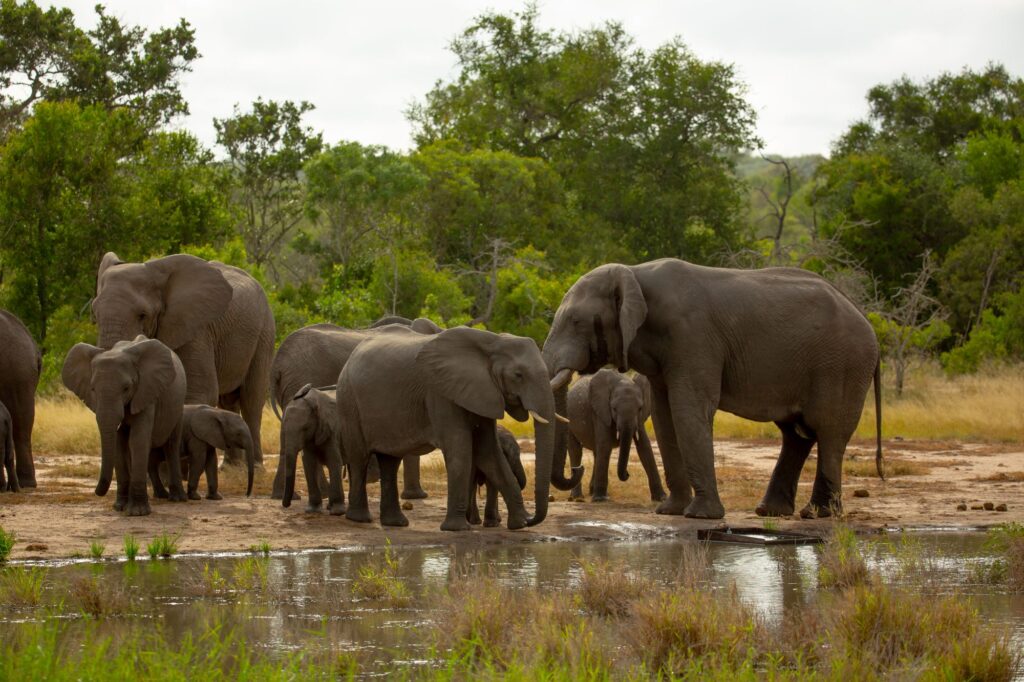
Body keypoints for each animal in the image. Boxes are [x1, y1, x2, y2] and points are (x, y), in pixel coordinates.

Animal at [62, 336, 188, 516]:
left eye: (126, 388)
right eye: (92, 389)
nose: (96, 492)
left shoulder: (145, 392)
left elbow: (137, 440)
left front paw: (138, 512)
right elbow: (118, 444)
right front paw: (119, 507)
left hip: (179, 405)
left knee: (171, 445)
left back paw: (177, 498)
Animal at [92, 252, 274, 471]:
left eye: (142, 315)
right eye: (95, 314)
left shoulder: (196, 330)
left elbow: (199, 390)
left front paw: (182, 469)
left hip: (264, 332)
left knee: (252, 399)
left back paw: (255, 468)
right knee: (228, 401)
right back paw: (231, 468)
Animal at [279, 385, 346, 515]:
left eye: (305, 428)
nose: (286, 505)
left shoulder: (332, 429)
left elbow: (334, 461)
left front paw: (337, 512)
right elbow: (309, 463)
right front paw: (312, 511)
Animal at [337, 326, 582, 531]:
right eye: (518, 375)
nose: (532, 519)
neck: (491, 343)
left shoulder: (484, 392)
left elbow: (489, 452)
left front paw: (518, 524)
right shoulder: (440, 392)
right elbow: (460, 450)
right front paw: (456, 528)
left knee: (390, 460)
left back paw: (396, 523)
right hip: (348, 400)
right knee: (359, 458)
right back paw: (360, 519)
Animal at [565, 369, 666, 503]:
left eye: (640, 408)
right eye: (614, 408)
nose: (627, 474)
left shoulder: (639, 418)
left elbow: (644, 447)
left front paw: (662, 498)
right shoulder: (600, 411)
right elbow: (605, 445)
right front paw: (600, 499)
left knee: (596, 452)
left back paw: (591, 492)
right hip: (568, 419)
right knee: (576, 450)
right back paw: (577, 497)